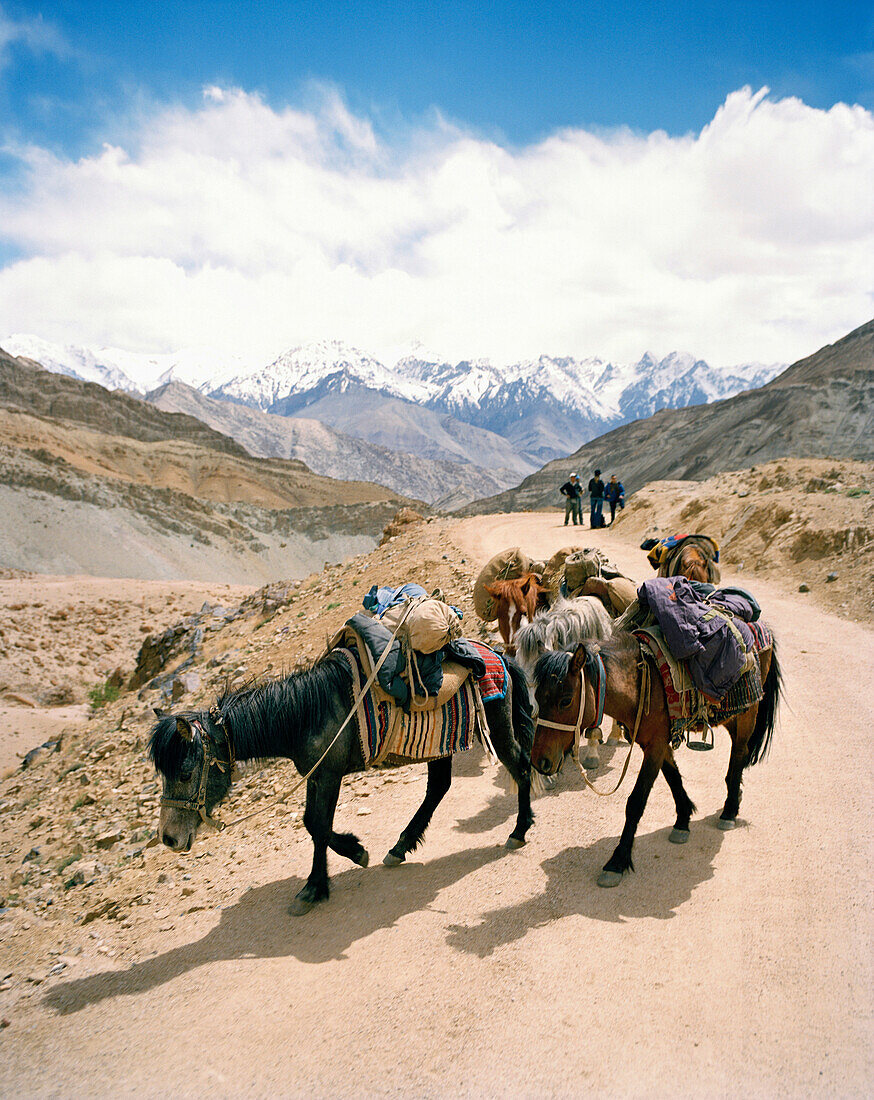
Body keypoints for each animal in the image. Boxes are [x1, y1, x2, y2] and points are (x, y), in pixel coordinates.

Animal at [529, 629, 782, 884]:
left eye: (565, 700)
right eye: (537, 697)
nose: (540, 761)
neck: (639, 683)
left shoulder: (656, 745)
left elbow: (636, 802)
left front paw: (617, 861)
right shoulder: (654, 743)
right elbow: (673, 777)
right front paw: (683, 821)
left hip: (747, 713)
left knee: (739, 754)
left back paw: (729, 811)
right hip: (731, 717)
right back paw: (735, 797)